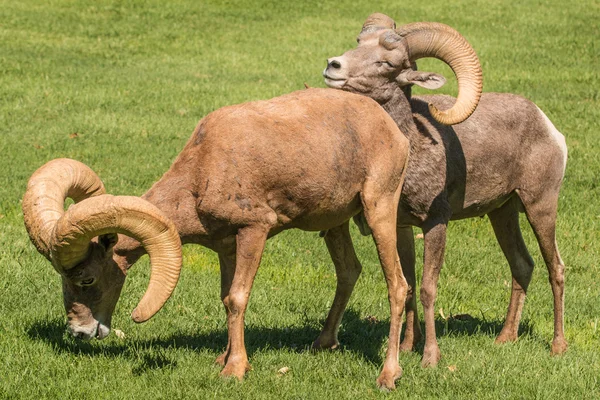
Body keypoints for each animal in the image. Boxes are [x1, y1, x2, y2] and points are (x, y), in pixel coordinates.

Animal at [24, 88, 418, 390]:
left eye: (87, 278)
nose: (79, 332)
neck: (202, 172)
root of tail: (394, 133)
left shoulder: (254, 231)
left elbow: (238, 298)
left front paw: (234, 371)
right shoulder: (226, 249)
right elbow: (226, 299)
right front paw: (224, 359)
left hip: (379, 209)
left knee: (398, 285)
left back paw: (388, 376)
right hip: (335, 224)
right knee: (349, 271)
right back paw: (322, 344)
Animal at [324, 14, 568, 368]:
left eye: (387, 63)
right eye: (358, 44)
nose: (333, 65)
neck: (411, 148)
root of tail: (548, 126)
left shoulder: (435, 223)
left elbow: (428, 288)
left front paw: (430, 358)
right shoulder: (401, 226)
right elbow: (410, 285)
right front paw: (407, 347)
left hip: (540, 206)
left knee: (556, 269)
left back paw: (557, 346)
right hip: (503, 213)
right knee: (522, 265)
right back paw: (504, 338)